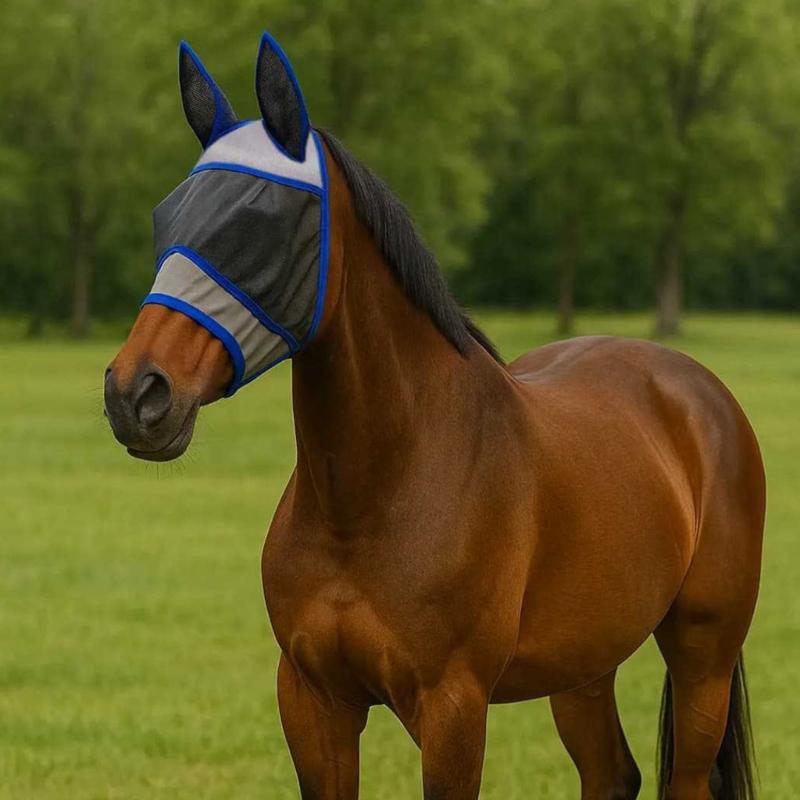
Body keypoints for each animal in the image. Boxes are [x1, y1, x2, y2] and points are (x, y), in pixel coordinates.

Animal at [104, 34, 765, 800]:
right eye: (166, 217)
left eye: (259, 221)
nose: (136, 394)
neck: (374, 495)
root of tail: (699, 393)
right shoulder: (312, 700)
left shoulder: (452, 708)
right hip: (583, 664)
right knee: (611, 773)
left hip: (702, 657)